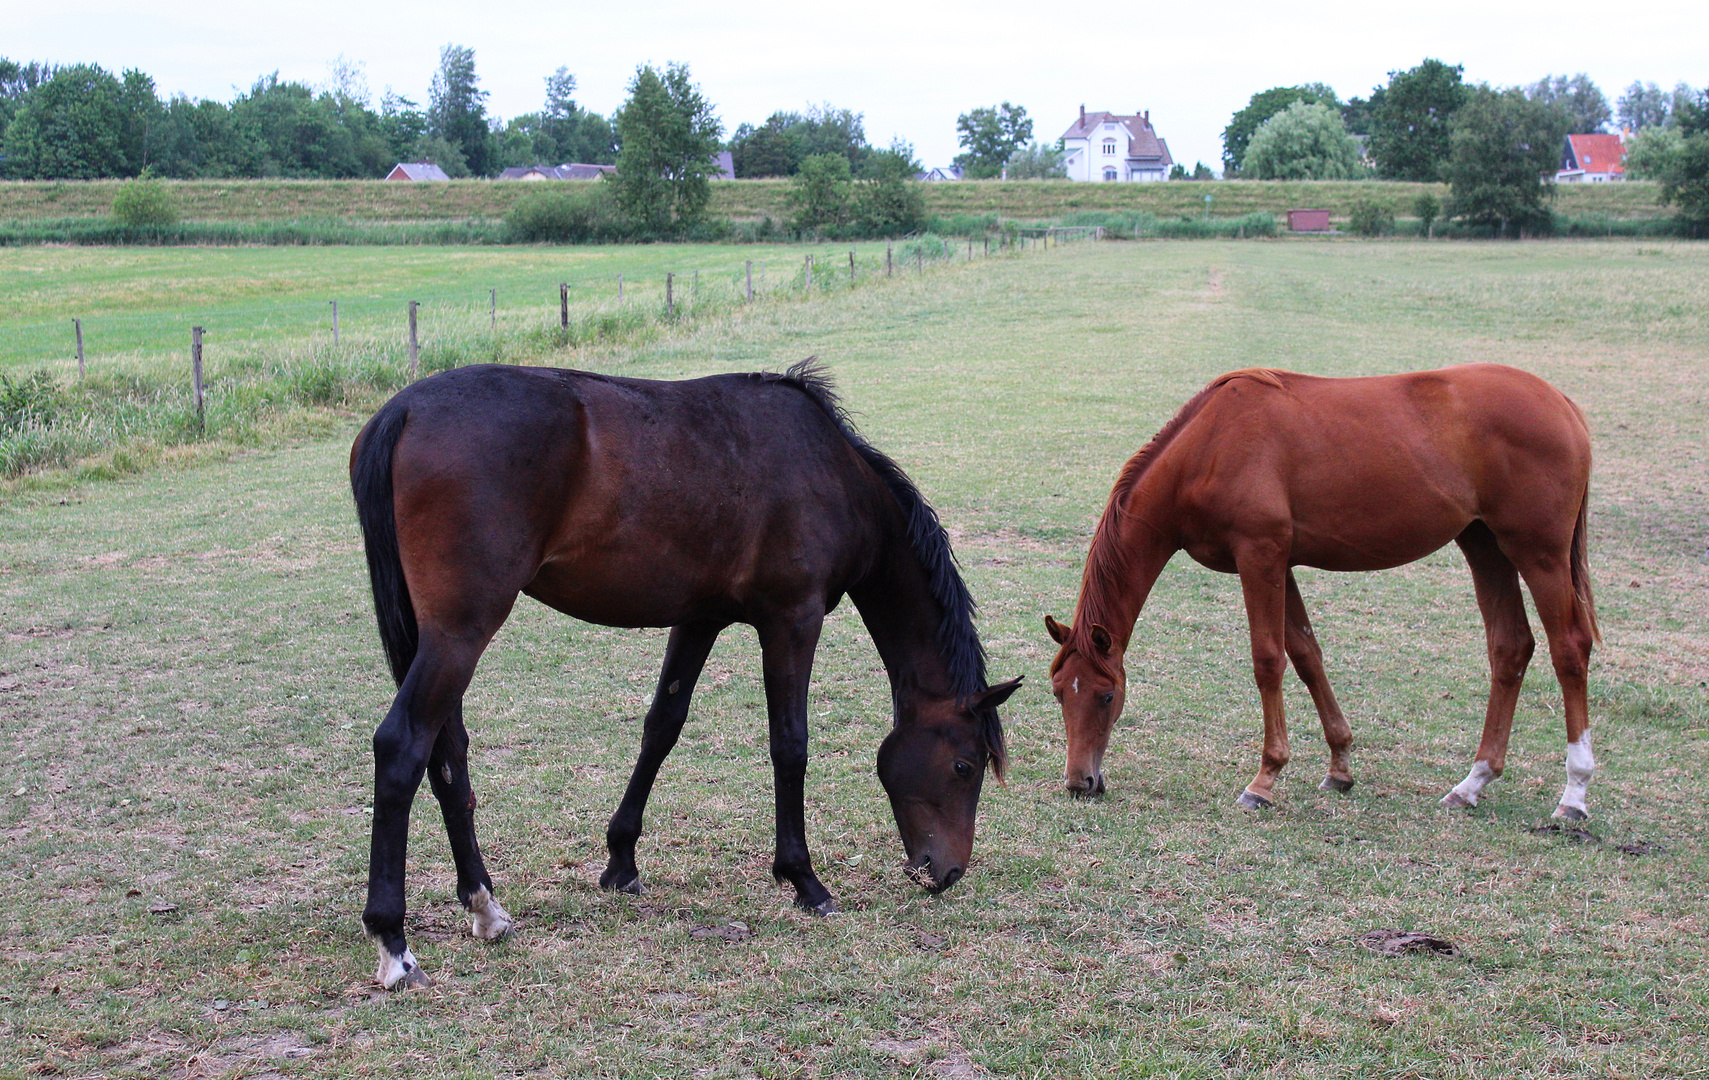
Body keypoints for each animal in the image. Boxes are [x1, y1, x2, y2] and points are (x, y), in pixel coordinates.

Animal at [346, 360, 1011, 984]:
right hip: (461, 630)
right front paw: (803, 880)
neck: (832, 471)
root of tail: (404, 410)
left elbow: (662, 726)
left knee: (448, 754)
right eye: (965, 766)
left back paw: (485, 907)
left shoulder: (700, 619)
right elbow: (790, 744)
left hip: (440, 635)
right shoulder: (791, 620)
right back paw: (394, 943)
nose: (947, 872)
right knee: (404, 746)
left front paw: (621, 862)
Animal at [1039, 369, 1599, 816]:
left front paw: (1264, 780)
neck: (1209, 447)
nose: (1080, 781)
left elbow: (1268, 660)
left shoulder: (1259, 556)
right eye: (1059, 692)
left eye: (1106, 694)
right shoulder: (1280, 563)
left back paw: (1573, 795)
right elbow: (1306, 654)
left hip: (1538, 554)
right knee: (1511, 648)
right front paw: (1340, 765)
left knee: (1569, 649)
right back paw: (1473, 783)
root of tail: (1560, 401)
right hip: (1485, 545)